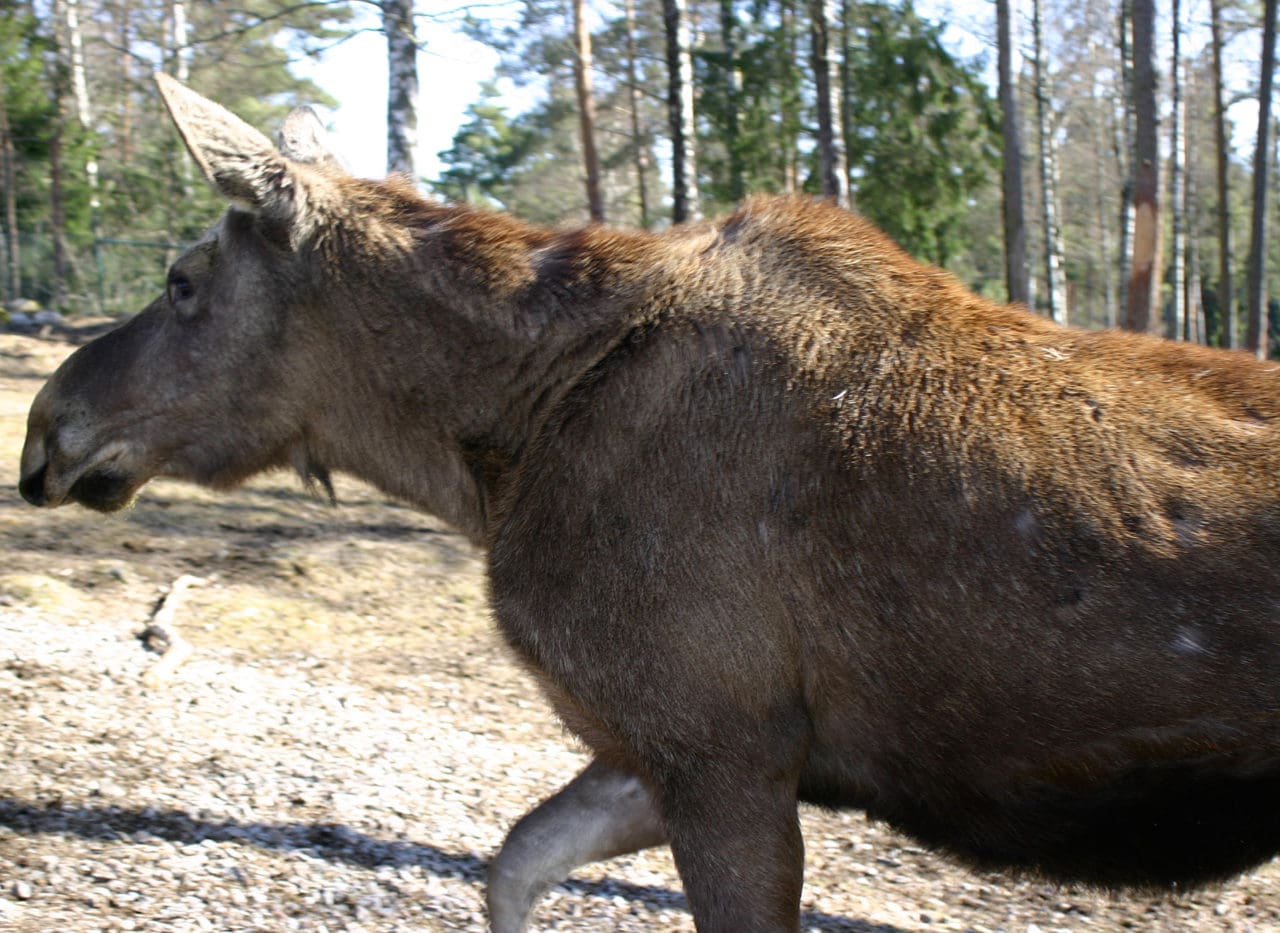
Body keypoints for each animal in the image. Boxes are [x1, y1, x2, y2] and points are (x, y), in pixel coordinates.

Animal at [20, 76, 1280, 926]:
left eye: (183, 280)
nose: (43, 429)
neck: (497, 458)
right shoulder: (651, 741)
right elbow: (510, 865)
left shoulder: (718, 744)